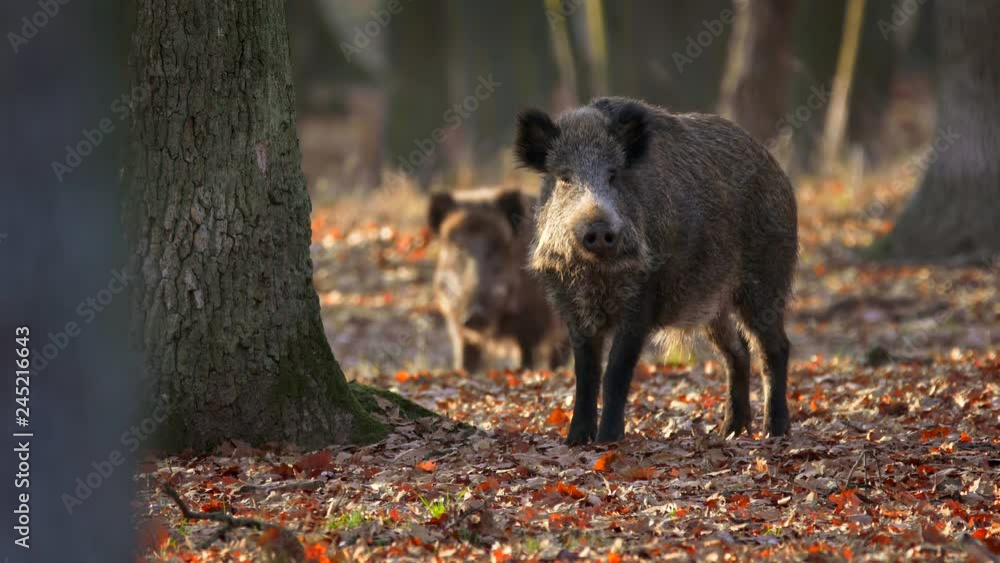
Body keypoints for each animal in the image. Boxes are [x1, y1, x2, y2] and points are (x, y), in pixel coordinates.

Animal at [428, 187, 568, 372]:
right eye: (457, 246)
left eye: (497, 244)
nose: (475, 315)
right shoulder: (456, 323)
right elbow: (465, 359)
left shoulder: (534, 322)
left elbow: (527, 358)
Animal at [514, 97, 798, 444]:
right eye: (565, 177)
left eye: (613, 175)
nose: (599, 229)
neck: (598, 273)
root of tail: (776, 169)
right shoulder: (572, 305)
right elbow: (585, 373)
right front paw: (576, 440)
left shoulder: (643, 299)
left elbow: (616, 372)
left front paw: (608, 440)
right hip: (712, 303)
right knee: (737, 352)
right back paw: (729, 431)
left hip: (766, 278)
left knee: (775, 348)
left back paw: (774, 432)